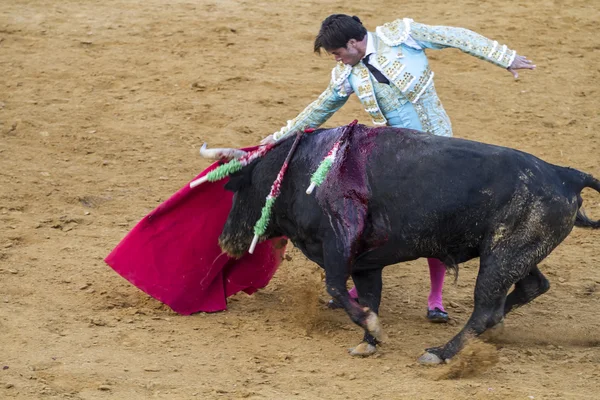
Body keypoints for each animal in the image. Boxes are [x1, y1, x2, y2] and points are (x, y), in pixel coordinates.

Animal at [218, 124, 596, 362]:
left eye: (236, 188)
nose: (224, 240)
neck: (302, 169)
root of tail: (565, 175)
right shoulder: (365, 263)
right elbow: (368, 296)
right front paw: (368, 341)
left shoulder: (340, 240)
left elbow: (336, 286)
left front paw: (372, 328)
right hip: (515, 253)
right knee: (532, 286)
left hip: (501, 258)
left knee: (486, 310)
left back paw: (441, 353)